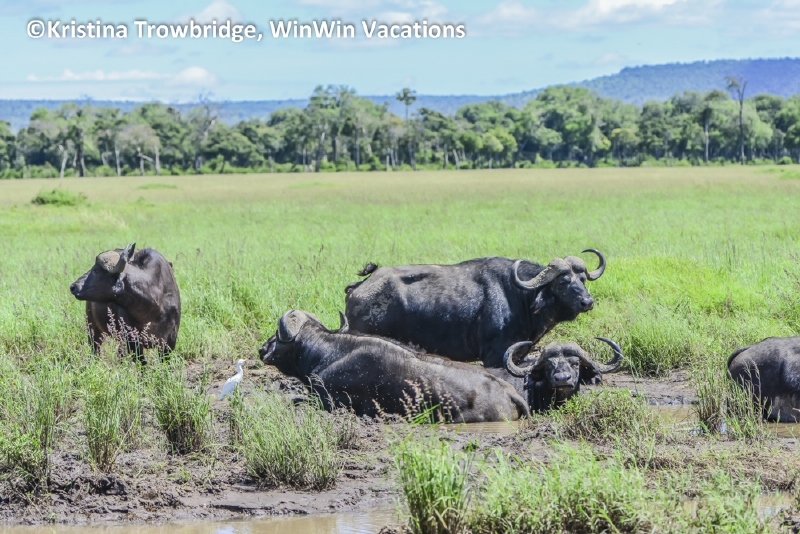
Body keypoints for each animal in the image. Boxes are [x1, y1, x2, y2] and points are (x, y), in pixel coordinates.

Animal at [258, 310, 530, 423]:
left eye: (276, 334)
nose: (262, 349)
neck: (329, 352)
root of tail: (509, 391)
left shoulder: (328, 401)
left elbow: (294, 400)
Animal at [344, 249, 606, 369]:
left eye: (582, 279)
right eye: (563, 282)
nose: (587, 302)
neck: (520, 297)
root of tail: (360, 287)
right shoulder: (494, 358)